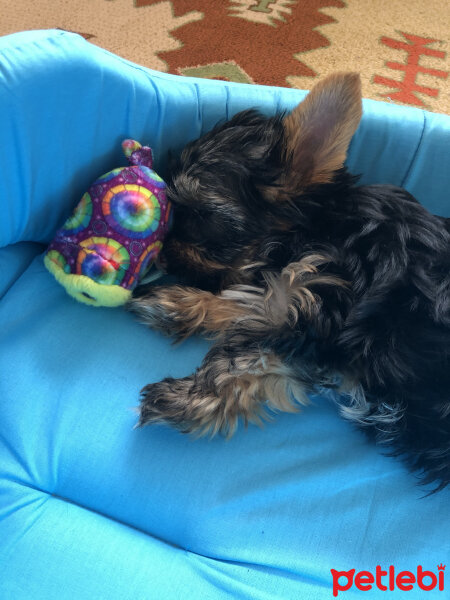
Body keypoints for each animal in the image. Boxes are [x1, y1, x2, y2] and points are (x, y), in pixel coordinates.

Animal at [127, 72, 450, 490]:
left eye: (200, 215)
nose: (163, 254)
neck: (327, 228)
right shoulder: (307, 315)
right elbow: (254, 301)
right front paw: (178, 305)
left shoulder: (322, 312)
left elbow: (243, 358)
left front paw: (184, 399)